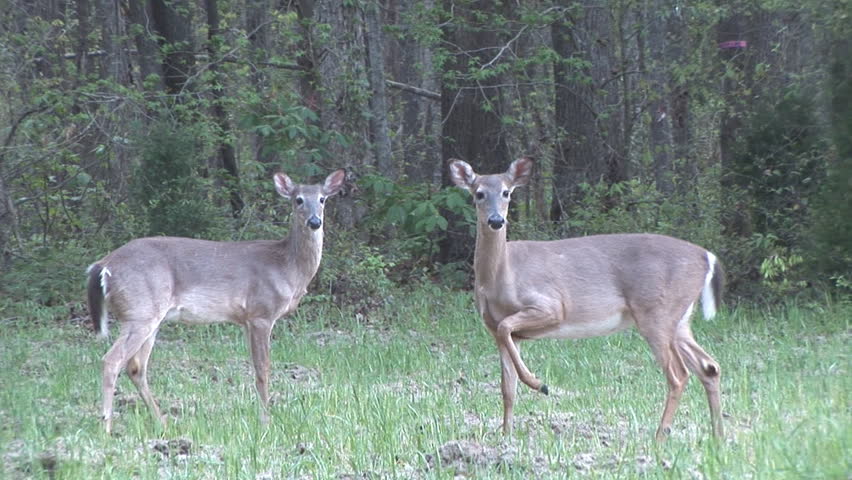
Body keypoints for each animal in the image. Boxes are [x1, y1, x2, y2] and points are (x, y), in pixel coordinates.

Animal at [83, 170, 342, 436]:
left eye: (322, 199)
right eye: (298, 200)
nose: (314, 222)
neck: (286, 267)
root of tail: (102, 266)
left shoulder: (247, 320)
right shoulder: (261, 312)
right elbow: (263, 370)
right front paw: (266, 422)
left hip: (149, 316)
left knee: (136, 367)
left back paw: (162, 422)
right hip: (140, 311)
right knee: (112, 360)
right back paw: (106, 427)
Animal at [450, 158, 724, 438]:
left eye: (507, 192)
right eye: (479, 193)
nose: (496, 220)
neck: (501, 274)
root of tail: (707, 257)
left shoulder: (551, 305)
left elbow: (508, 330)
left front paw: (539, 384)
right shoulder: (496, 329)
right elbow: (507, 387)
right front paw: (506, 435)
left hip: (657, 312)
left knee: (679, 375)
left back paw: (660, 437)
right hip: (679, 319)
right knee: (709, 367)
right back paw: (718, 436)